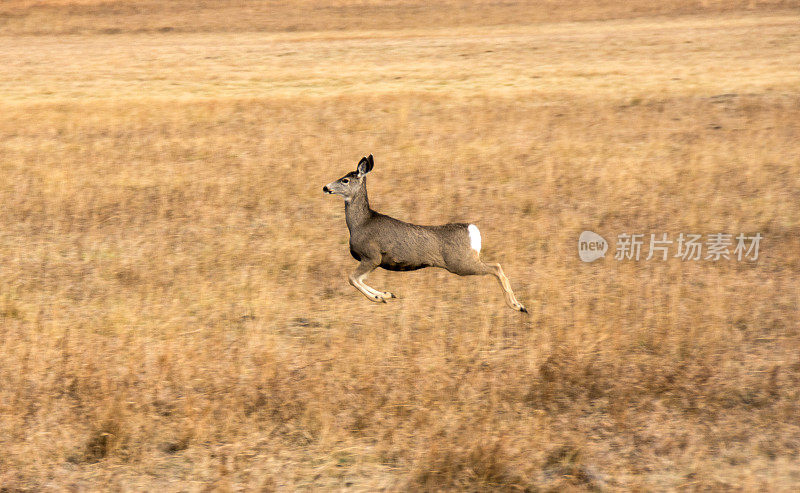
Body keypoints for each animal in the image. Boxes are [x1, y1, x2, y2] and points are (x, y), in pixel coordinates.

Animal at [322, 156, 528, 314]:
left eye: (345, 180)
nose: (325, 187)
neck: (360, 223)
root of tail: (472, 230)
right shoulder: (374, 261)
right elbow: (358, 279)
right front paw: (386, 294)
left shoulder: (372, 256)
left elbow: (352, 278)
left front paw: (379, 297)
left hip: (459, 262)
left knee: (496, 267)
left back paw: (518, 306)